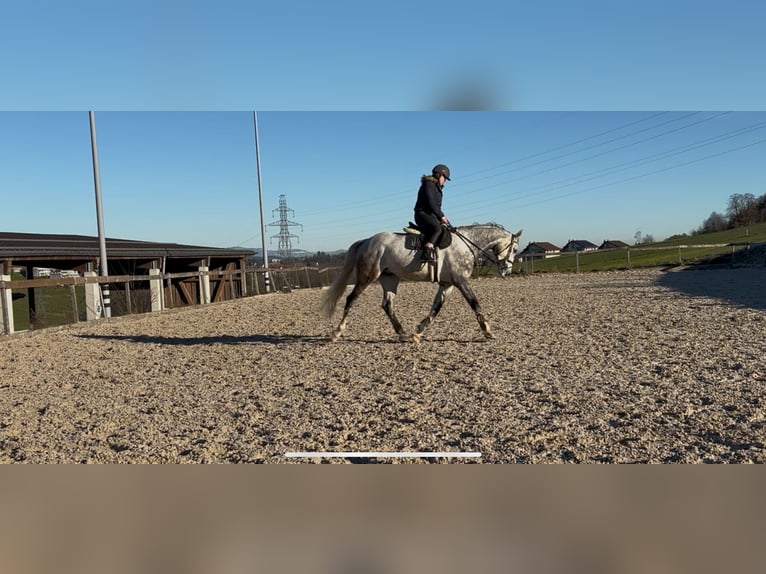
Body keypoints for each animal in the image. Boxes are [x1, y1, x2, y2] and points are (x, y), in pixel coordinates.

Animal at [320, 224, 524, 342]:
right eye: (514, 249)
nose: (506, 271)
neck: (466, 244)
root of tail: (366, 241)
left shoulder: (447, 284)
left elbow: (436, 307)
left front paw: (418, 332)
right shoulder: (460, 281)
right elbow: (474, 303)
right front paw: (487, 331)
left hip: (390, 279)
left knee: (387, 305)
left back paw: (402, 333)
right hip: (367, 277)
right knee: (351, 299)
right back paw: (337, 332)